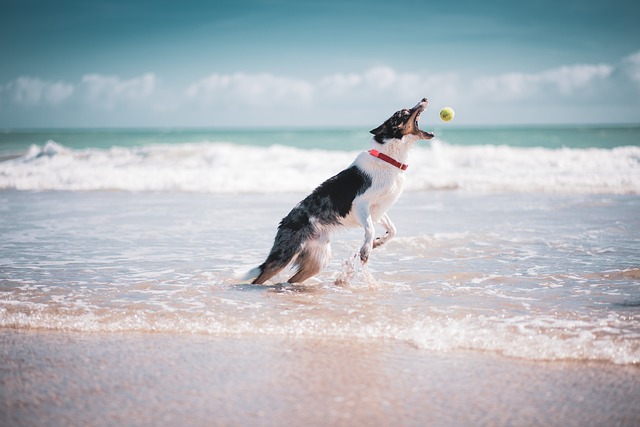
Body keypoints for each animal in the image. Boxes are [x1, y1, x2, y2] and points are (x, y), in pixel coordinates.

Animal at [245, 97, 436, 284]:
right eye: (405, 112)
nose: (424, 98)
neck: (388, 159)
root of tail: (283, 222)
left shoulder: (377, 209)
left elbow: (393, 230)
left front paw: (377, 243)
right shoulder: (361, 204)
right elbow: (370, 229)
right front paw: (366, 249)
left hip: (319, 260)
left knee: (292, 279)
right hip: (285, 254)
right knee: (260, 278)